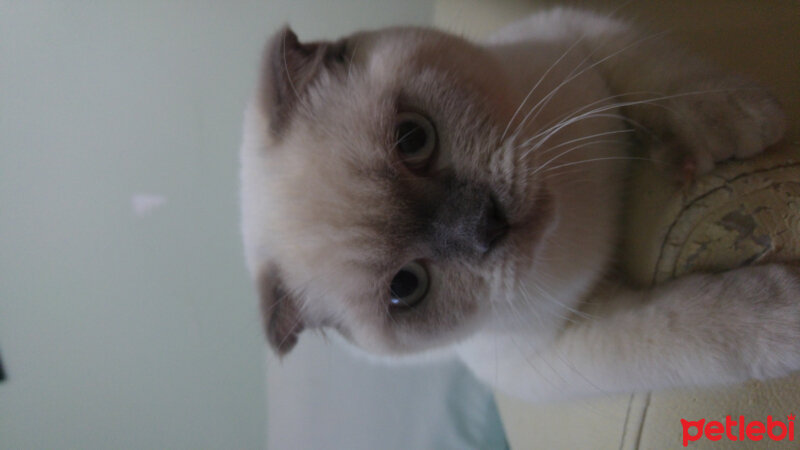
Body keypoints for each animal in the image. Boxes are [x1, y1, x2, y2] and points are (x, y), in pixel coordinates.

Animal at [239, 7, 800, 400]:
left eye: (412, 139)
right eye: (405, 287)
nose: (485, 225)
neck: (583, 192)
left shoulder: (579, 37)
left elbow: (664, 79)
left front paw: (743, 121)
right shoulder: (561, 344)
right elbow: (687, 333)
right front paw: (783, 316)